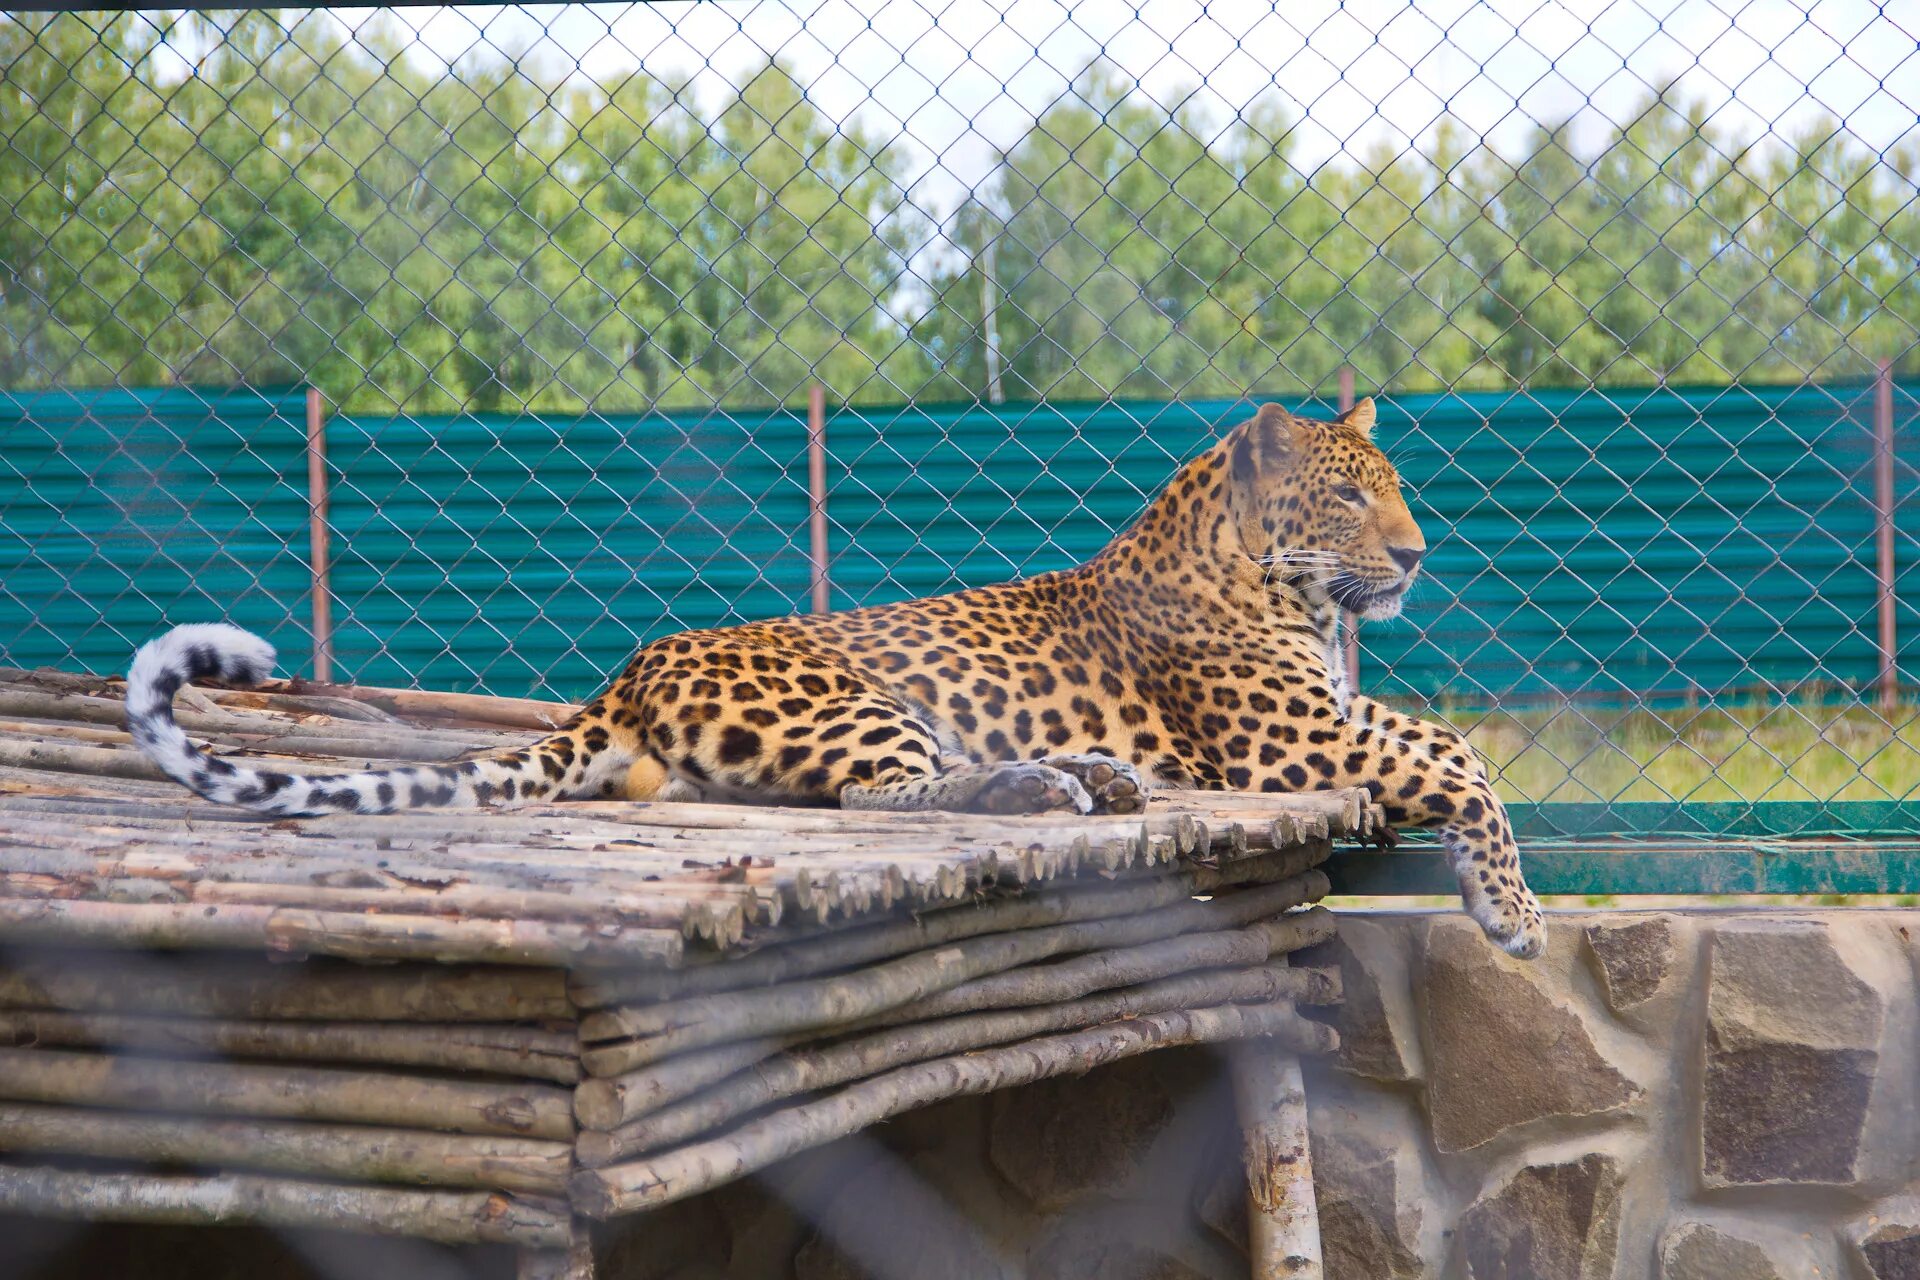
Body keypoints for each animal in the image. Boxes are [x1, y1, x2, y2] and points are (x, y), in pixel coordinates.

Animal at [131, 395, 1543, 955]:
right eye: (1351, 497)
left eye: (1395, 490)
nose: (1417, 551)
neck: (1289, 590)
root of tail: (628, 668)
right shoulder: (1287, 741)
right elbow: (1464, 755)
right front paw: (1514, 912)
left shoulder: (1333, 716)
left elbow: (1454, 742)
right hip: (856, 697)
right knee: (879, 797)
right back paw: (1053, 790)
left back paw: (1089, 776)